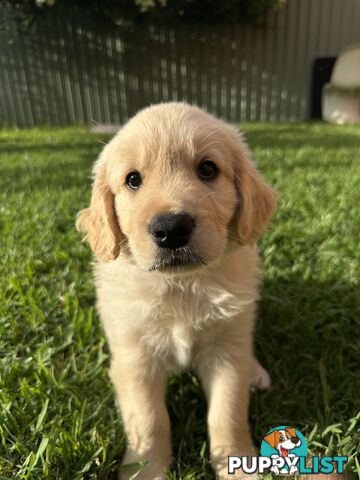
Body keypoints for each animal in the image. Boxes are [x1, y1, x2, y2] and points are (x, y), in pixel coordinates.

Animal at [77, 102, 278, 480]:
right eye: (133, 179)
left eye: (208, 169)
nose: (171, 228)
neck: (182, 285)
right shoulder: (135, 358)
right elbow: (149, 420)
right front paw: (145, 470)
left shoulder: (226, 354)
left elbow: (227, 413)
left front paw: (237, 464)